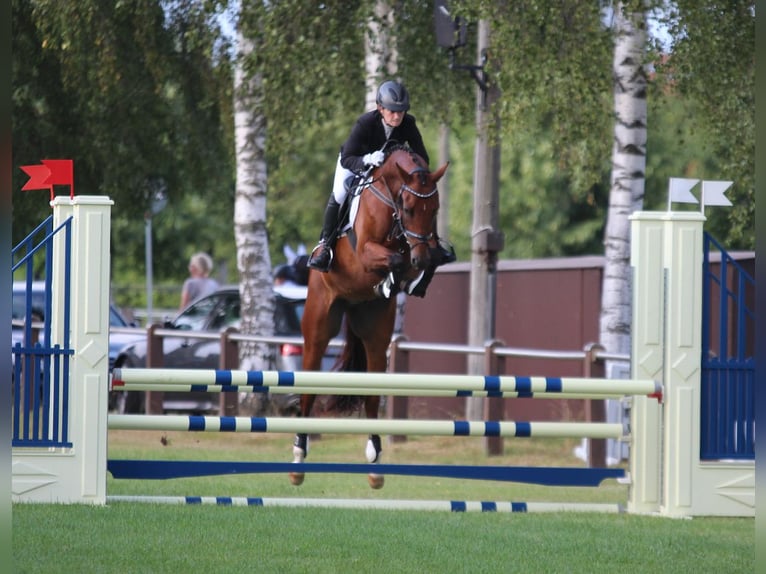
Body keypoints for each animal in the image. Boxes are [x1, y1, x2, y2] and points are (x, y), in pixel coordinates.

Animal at [292, 144, 450, 490]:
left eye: (434, 208)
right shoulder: (366, 251)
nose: (419, 257)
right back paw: (297, 458)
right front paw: (393, 278)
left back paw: (375, 464)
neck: (389, 197)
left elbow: (423, 261)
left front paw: (411, 280)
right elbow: (393, 259)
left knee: (372, 396)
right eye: (408, 208)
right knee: (308, 390)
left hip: (376, 336)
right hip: (318, 328)